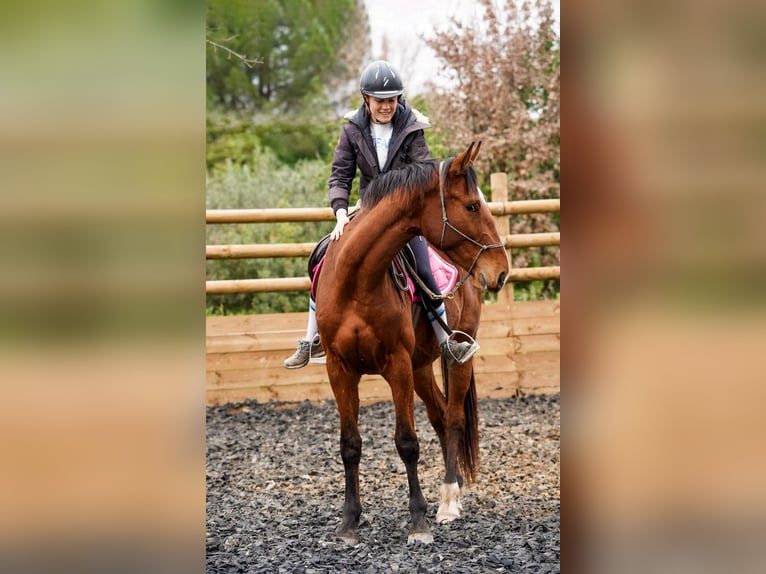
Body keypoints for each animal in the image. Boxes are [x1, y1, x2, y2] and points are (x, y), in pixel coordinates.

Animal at [314, 141, 510, 545]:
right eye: (472, 206)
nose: (501, 270)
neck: (357, 281)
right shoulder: (340, 369)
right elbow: (349, 445)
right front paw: (349, 521)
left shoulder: (397, 365)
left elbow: (407, 442)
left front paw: (418, 521)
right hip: (421, 367)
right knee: (439, 416)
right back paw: (454, 491)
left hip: (455, 359)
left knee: (453, 419)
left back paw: (448, 501)